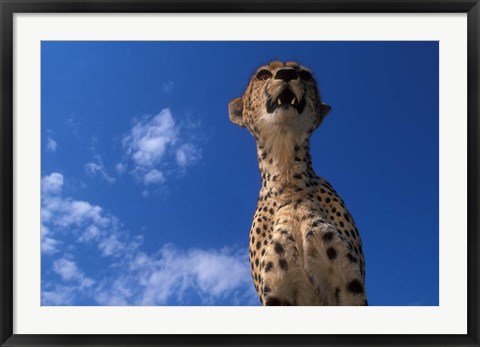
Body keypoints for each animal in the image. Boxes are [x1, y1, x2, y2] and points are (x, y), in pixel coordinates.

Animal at [229, 61, 368, 306]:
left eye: (304, 75)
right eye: (263, 75)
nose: (287, 73)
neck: (288, 180)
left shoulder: (349, 283)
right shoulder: (277, 292)